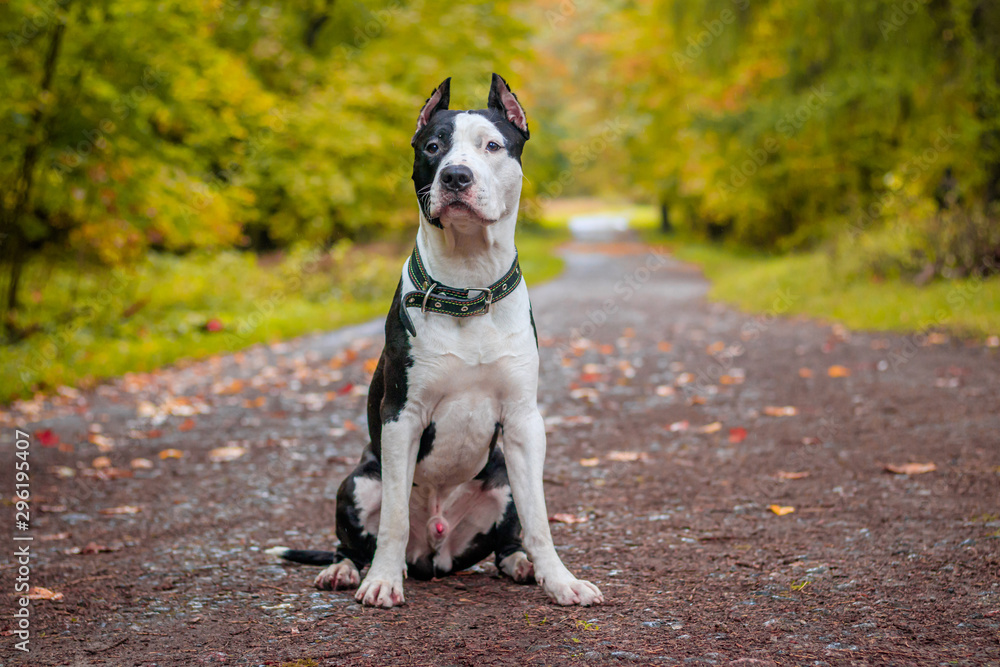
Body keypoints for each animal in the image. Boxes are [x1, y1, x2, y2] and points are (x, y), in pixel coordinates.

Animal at [266, 75, 604, 608]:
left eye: (492, 146)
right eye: (433, 147)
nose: (456, 177)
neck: (467, 284)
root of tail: (434, 555)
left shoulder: (524, 422)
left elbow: (539, 519)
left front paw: (560, 580)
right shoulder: (401, 417)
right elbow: (394, 519)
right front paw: (383, 581)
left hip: (501, 478)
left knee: (507, 540)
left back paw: (522, 565)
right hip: (358, 480)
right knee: (353, 540)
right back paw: (346, 570)